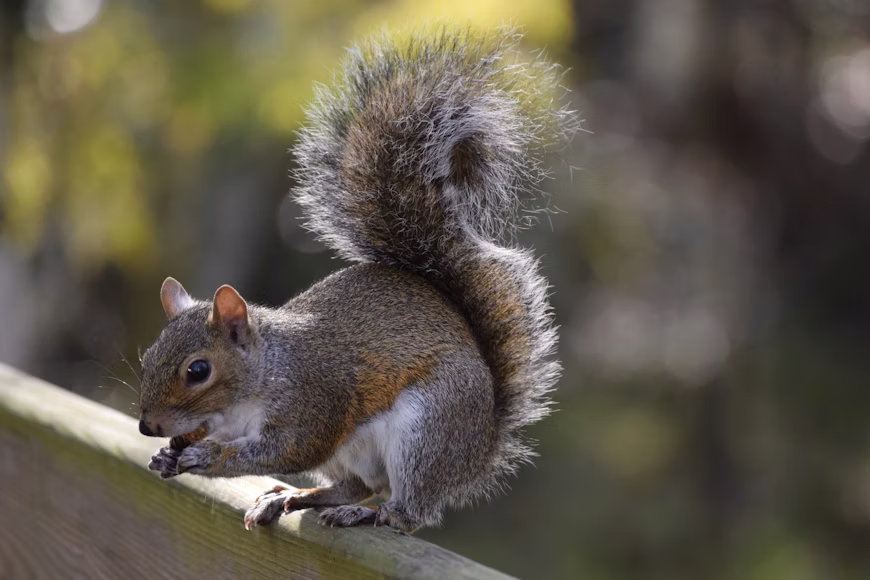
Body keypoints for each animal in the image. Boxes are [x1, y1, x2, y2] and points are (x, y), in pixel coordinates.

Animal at [139, 26, 575, 533]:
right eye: (147, 358)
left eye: (198, 371)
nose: (148, 426)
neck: (265, 372)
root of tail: (480, 446)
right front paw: (166, 456)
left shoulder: (314, 400)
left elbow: (288, 448)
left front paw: (207, 457)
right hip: (353, 456)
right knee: (358, 484)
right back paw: (297, 496)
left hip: (426, 432)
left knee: (406, 511)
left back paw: (372, 515)